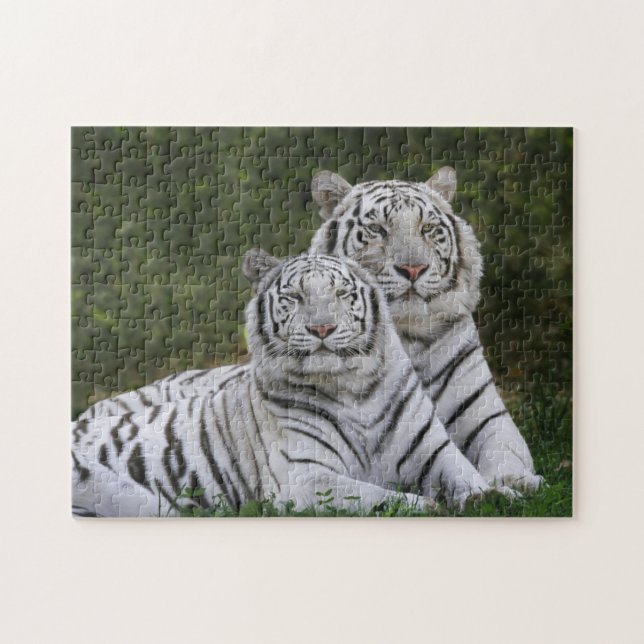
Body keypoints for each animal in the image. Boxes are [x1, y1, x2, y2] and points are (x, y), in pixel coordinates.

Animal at [72, 251, 489, 517]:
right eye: (294, 297)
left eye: (341, 294)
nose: (322, 328)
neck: (355, 390)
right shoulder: (303, 477)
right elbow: (371, 495)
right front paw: (427, 506)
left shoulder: (433, 449)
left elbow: (467, 475)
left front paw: (489, 496)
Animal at [309, 168, 544, 495]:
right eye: (377, 230)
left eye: (428, 228)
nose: (413, 269)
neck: (409, 335)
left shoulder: (486, 412)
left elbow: (504, 449)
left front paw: (516, 481)